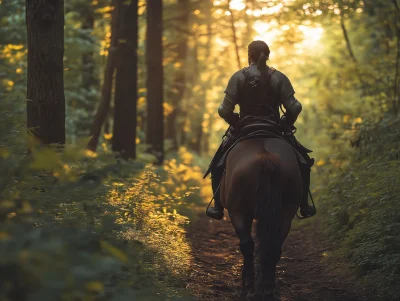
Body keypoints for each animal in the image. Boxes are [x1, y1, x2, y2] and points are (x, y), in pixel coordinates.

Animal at [220, 137, 302, 298]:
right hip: (286, 214)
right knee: (273, 246)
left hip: (237, 212)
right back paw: (268, 287)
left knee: (247, 245)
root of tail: (266, 158)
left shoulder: (242, 213)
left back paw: (250, 286)